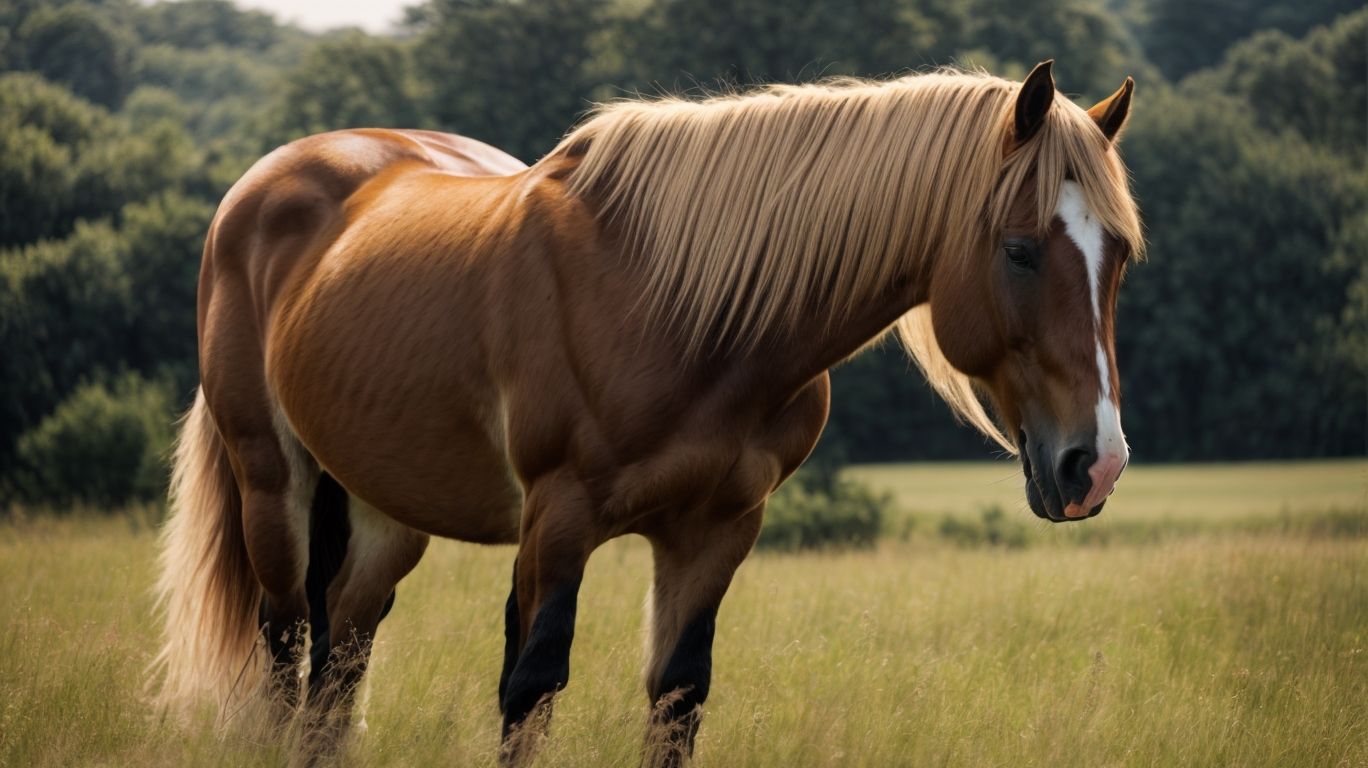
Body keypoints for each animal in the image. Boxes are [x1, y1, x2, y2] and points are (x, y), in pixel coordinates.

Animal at [151, 60, 1142, 765]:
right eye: (1019, 249)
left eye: (1121, 255)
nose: (1094, 465)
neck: (685, 311)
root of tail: (262, 186)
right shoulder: (558, 520)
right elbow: (531, 688)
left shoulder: (716, 529)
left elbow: (677, 698)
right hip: (272, 484)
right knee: (288, 648)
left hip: (385, 510)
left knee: (341, 662)